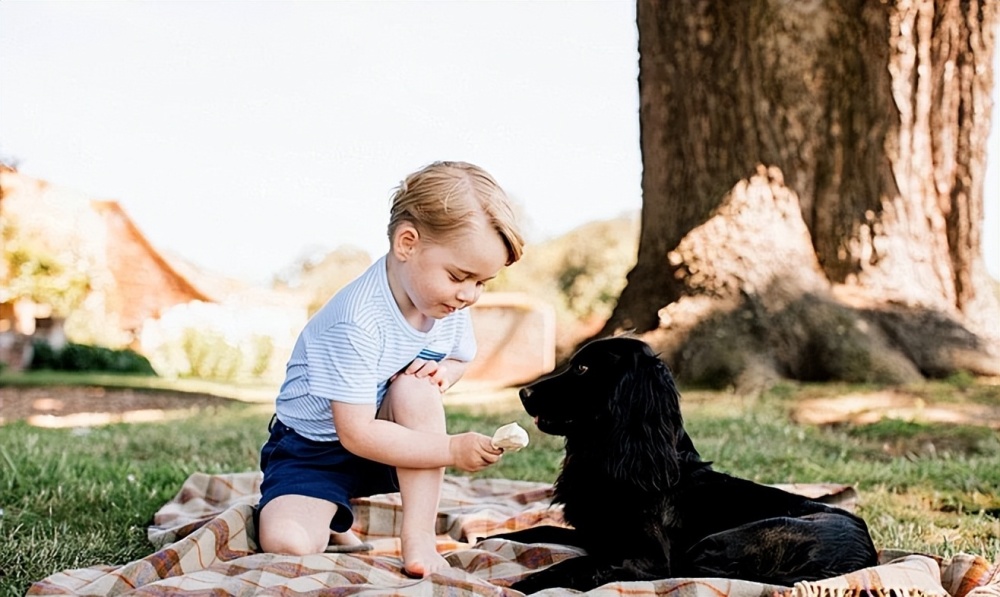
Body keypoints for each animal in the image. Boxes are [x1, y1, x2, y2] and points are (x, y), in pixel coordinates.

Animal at [492, 336, 876, 592]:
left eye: (583, 368)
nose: (523, 392)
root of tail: (863, 558)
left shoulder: (648, 555)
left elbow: (578, 563)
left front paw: (520, 584)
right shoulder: (594, 533)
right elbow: (534, 531)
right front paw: (488, 538)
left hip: (715, 543)